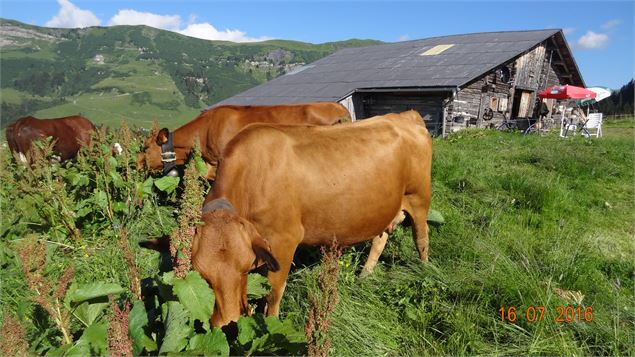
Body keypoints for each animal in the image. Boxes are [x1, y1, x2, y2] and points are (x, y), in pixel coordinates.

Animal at [193, 110, 432, 326]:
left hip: (419, 198)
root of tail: (405, 115)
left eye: (244, 268)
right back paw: (364, 275)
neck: (248, 179)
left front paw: (271, 322)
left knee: (421, 238)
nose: (229, 324)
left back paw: (424, 270)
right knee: (380, 239)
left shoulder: (284, 241)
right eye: (202, 275)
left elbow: (273, 292)